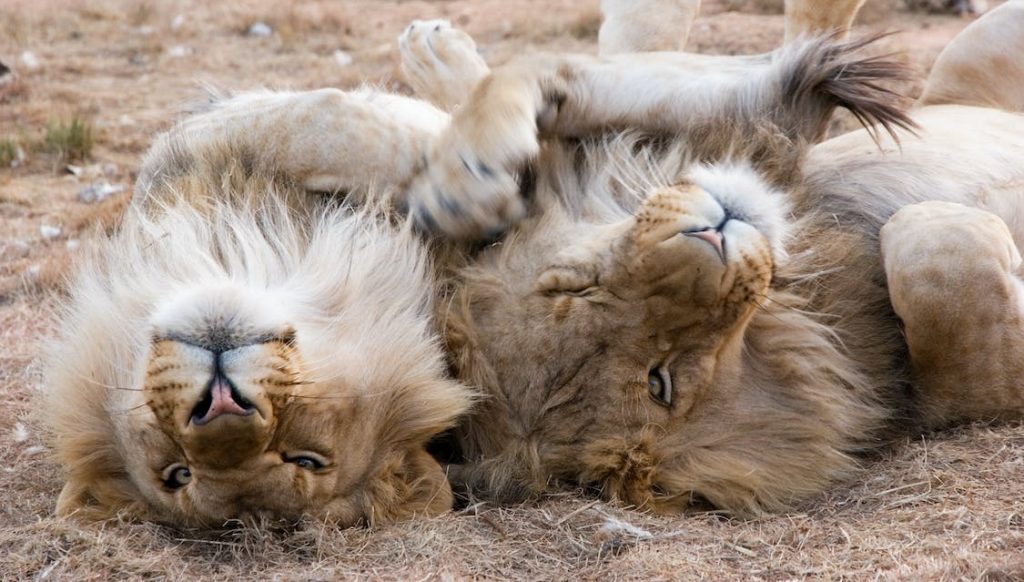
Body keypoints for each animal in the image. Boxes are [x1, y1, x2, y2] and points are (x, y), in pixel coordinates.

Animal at [396, 2, 1024, 515]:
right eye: (660, 382)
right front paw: (956, 224)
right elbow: (931, 257)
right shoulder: (926, 392)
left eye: (573, 286)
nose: (714, 236)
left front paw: (462, 184)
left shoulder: (759, 110)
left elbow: (540, 68)